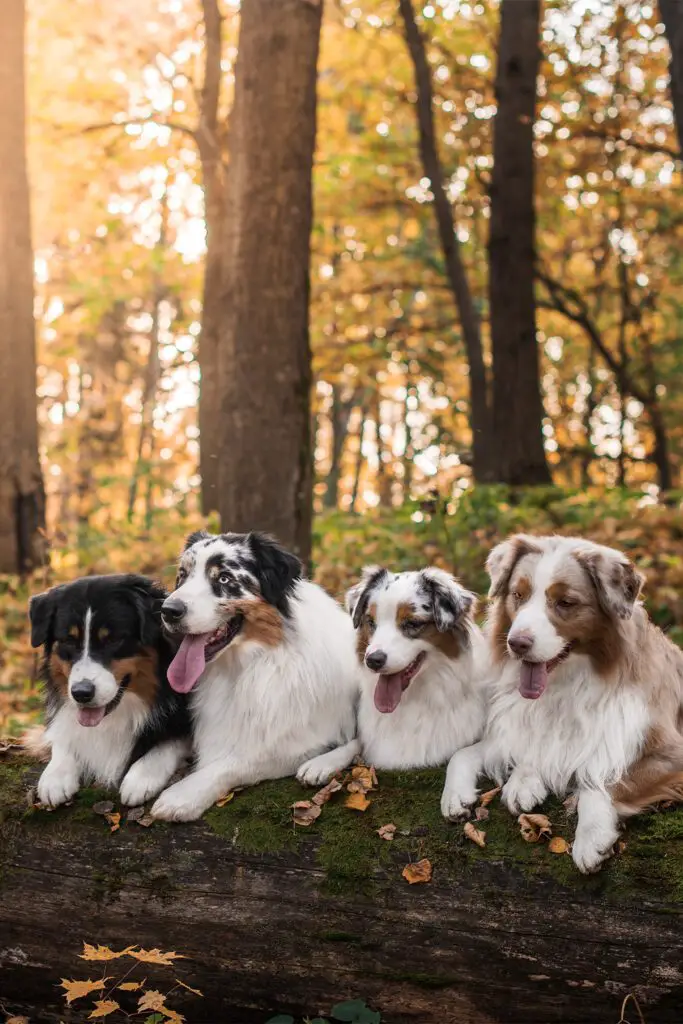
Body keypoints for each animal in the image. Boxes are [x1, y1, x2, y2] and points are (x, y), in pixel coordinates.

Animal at [29, 577, 189, 806]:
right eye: (68, 640)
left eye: (113, 640)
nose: (81, 693)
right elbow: (64, 734)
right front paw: (56, 776)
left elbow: (170, 741)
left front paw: (142, 776)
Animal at [150, 532, 358, 819]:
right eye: (183, 574)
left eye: (224, 578)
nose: (168, 610)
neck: (244, 667)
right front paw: (140, 778)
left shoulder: (296, 741)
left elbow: (236, 761)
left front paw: (182, 796)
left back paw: (321, 765)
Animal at [296, 569, 485, 782]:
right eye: (371, 622)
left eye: (412, 623)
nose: (372, 660)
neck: (415, 698)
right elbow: (358, 741)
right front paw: (322, 762)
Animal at [444, 536, 683, 872]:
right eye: (518, 595)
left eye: (566, 603)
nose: (516, 644)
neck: (567, 684)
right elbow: (466, 753)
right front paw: (470, 790)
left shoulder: (670, 752)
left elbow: (601, 781)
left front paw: (592, 836)